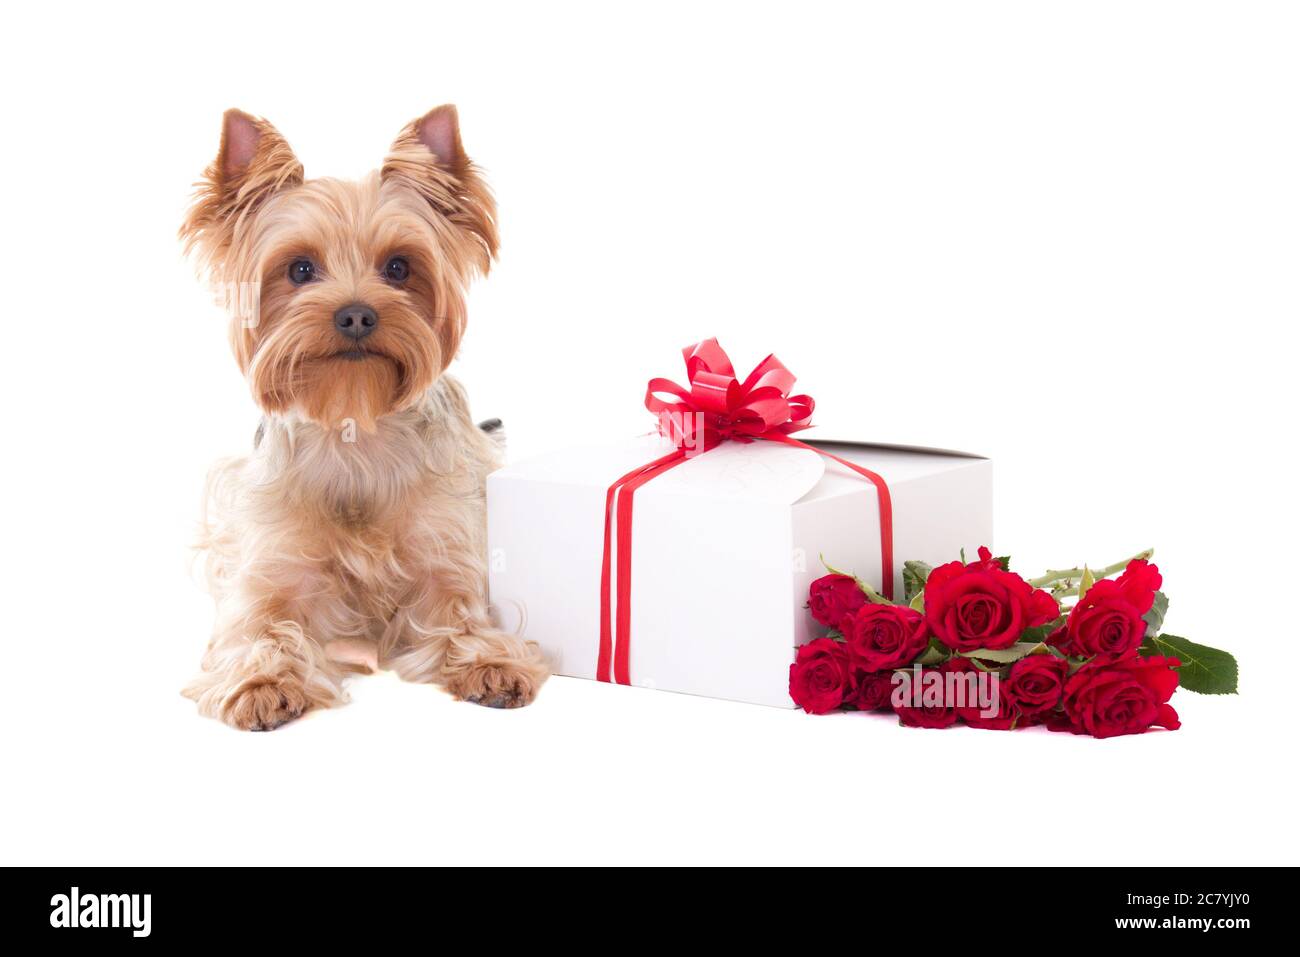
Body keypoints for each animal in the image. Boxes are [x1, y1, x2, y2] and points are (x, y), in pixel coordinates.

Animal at [180, 104, 546, 728]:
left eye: (398, 267)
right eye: (300, 269)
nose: (355, 314)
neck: (354, 421)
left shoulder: (450, 551)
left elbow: (461, 615)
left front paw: (488, 663)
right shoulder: (269, 571)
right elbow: (259, 630)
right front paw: (261, 680)